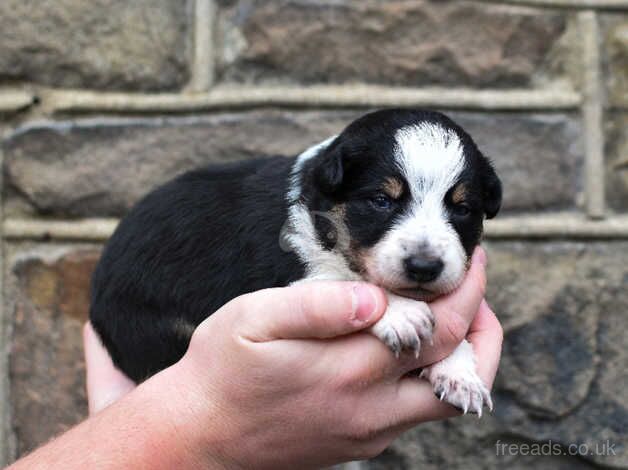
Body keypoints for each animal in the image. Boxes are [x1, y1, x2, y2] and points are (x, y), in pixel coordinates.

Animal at [89, 109, 500, 414]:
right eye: (381, 200)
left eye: (463, 209)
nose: (424, 267)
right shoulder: (275, 279)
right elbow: (342, 280)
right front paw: (402, 312)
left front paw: (459, 373)